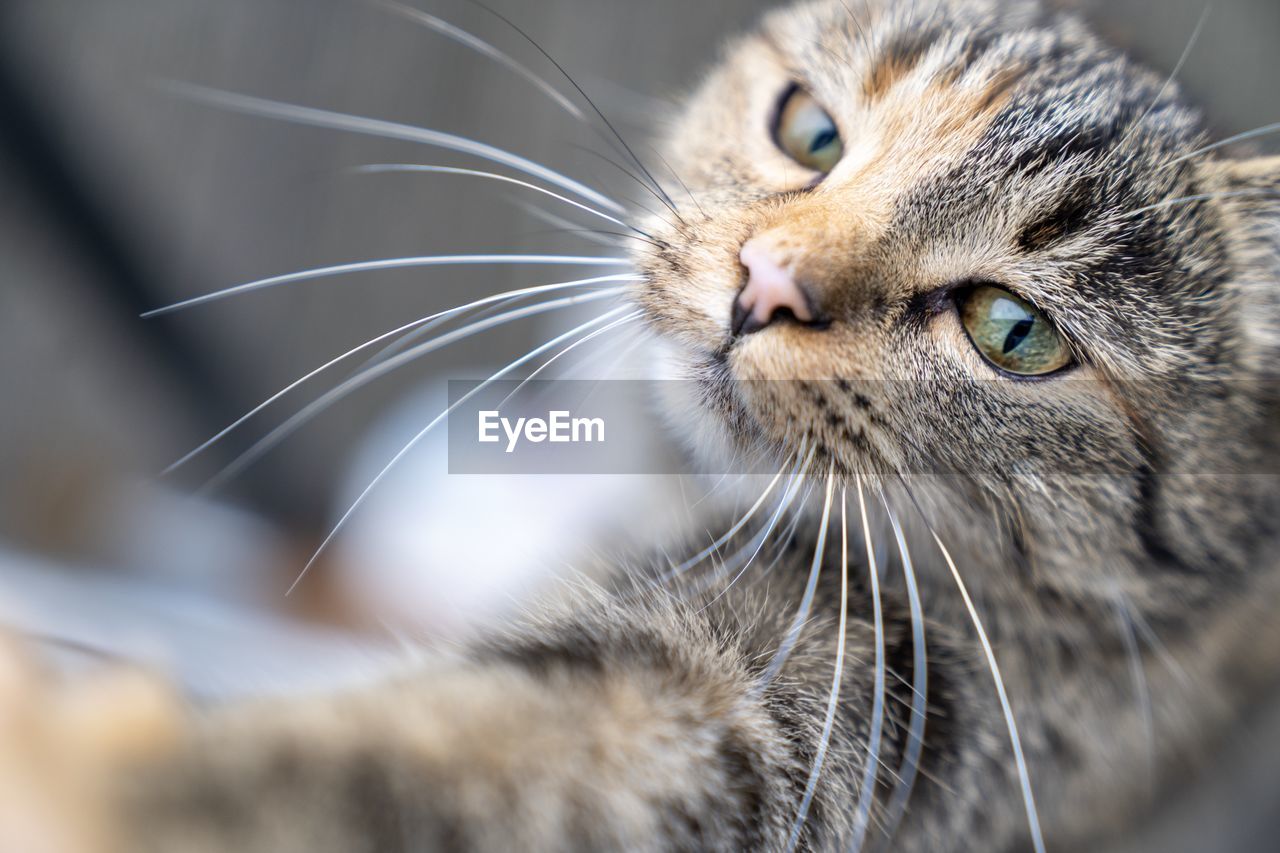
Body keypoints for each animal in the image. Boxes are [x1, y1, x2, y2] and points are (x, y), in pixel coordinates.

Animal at [2, 0, 1280, 845]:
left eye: (1013, 331)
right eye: (809, 130)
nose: (766, 282)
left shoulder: (838, 701)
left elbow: (482, 753)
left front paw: (88, 773)